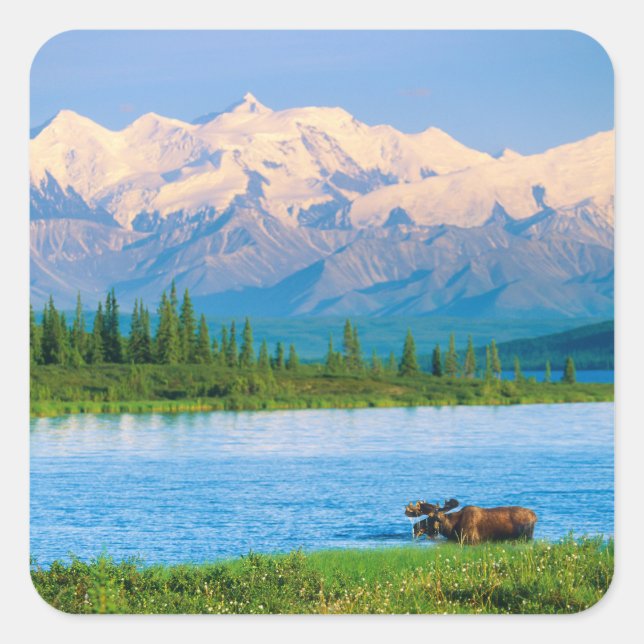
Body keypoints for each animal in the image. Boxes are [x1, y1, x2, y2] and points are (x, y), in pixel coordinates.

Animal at [405, 499, 537, 545]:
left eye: (430, 518)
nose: (415, 526)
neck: (452, 529)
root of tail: (535, 516)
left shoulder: (471, 538)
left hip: (526, 535)